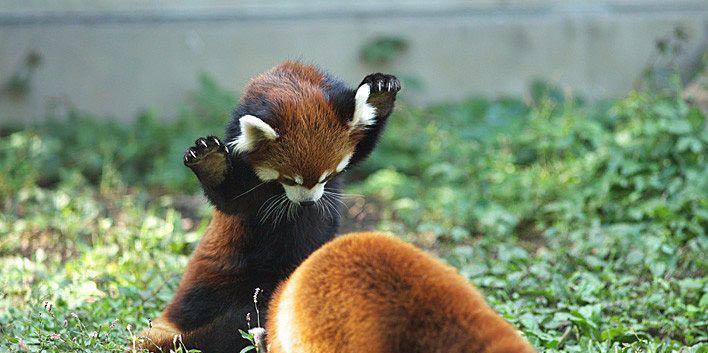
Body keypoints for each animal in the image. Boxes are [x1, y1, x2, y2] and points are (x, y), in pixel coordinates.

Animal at [140, 62, 398, 350]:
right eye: (289, 179)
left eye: (327, 176)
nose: (308, 201)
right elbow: (231, 199)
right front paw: (210, 161)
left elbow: (364, 143)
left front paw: (380, 93)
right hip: (223, 275)